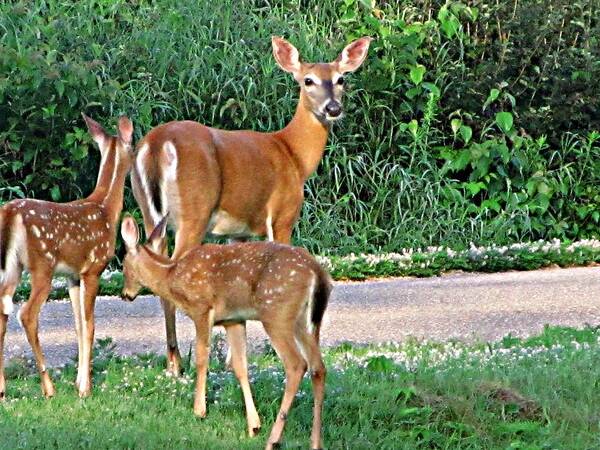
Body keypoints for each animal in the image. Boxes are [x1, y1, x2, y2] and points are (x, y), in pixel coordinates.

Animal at [0, 114, 132, 400]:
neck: (106, 209)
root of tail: (10, 213)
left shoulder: (73, 276)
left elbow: (79, 326)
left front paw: (78, 382)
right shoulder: (93, 269)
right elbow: (90, 326)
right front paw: (85, 388)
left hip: (12, 266)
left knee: (2, 310)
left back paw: (3, 389)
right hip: (42, 265)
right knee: (26, 314)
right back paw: (48, 388)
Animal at [119, 216, 330, 448]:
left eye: (123, 266)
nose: (125, 294)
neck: (172, 276)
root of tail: (318, 273)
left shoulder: (202, 309)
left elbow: (202, 357)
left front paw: (199, 410)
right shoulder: (233, 320)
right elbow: (239, 366)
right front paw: (253, 426)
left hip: (277, 314)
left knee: (296, 365)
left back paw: (273, 440)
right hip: (305, 322)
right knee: (318, 367)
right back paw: (315, 442)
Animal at [132, 35, 370, 374]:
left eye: (341, 79)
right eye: (308, 80)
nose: (333, 108)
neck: (293, 155)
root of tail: (155, 145)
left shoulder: (239, 231)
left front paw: (233, 359)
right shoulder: (283, 214)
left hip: (150, 212)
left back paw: (174, 360)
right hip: (195, 209)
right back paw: (178, 363)